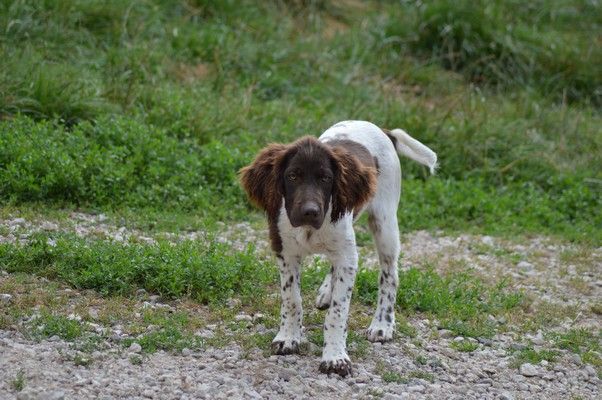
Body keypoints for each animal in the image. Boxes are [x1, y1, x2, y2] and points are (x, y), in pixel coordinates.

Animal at [239, 120, 436, 376]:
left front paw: (335, 357)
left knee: (389, 275)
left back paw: (382, 324)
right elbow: (292, 299)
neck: (310, 229)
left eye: (326, 178)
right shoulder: (285, 251)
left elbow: (338, 312)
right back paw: (326, 292)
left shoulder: (347, 256)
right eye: (292, 176)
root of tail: (383, 130)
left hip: (385, 223)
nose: (310, 212)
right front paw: (288, 337)